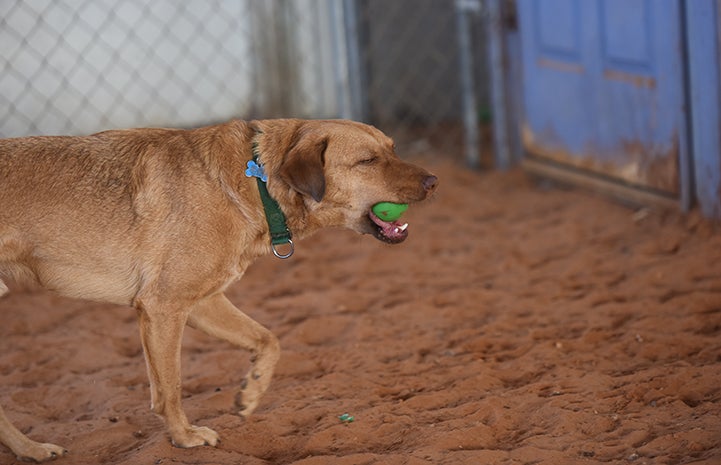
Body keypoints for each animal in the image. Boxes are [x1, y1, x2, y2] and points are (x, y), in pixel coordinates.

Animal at [0, 118, 438, 458]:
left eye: (393, 149)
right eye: (368, 161)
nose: (435, 180)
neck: (255, 179)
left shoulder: (202, 303)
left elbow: (269, 340)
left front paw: (250, 393)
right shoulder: (164, 307)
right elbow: (170, 389)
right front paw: (184, 437)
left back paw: (32, 450)